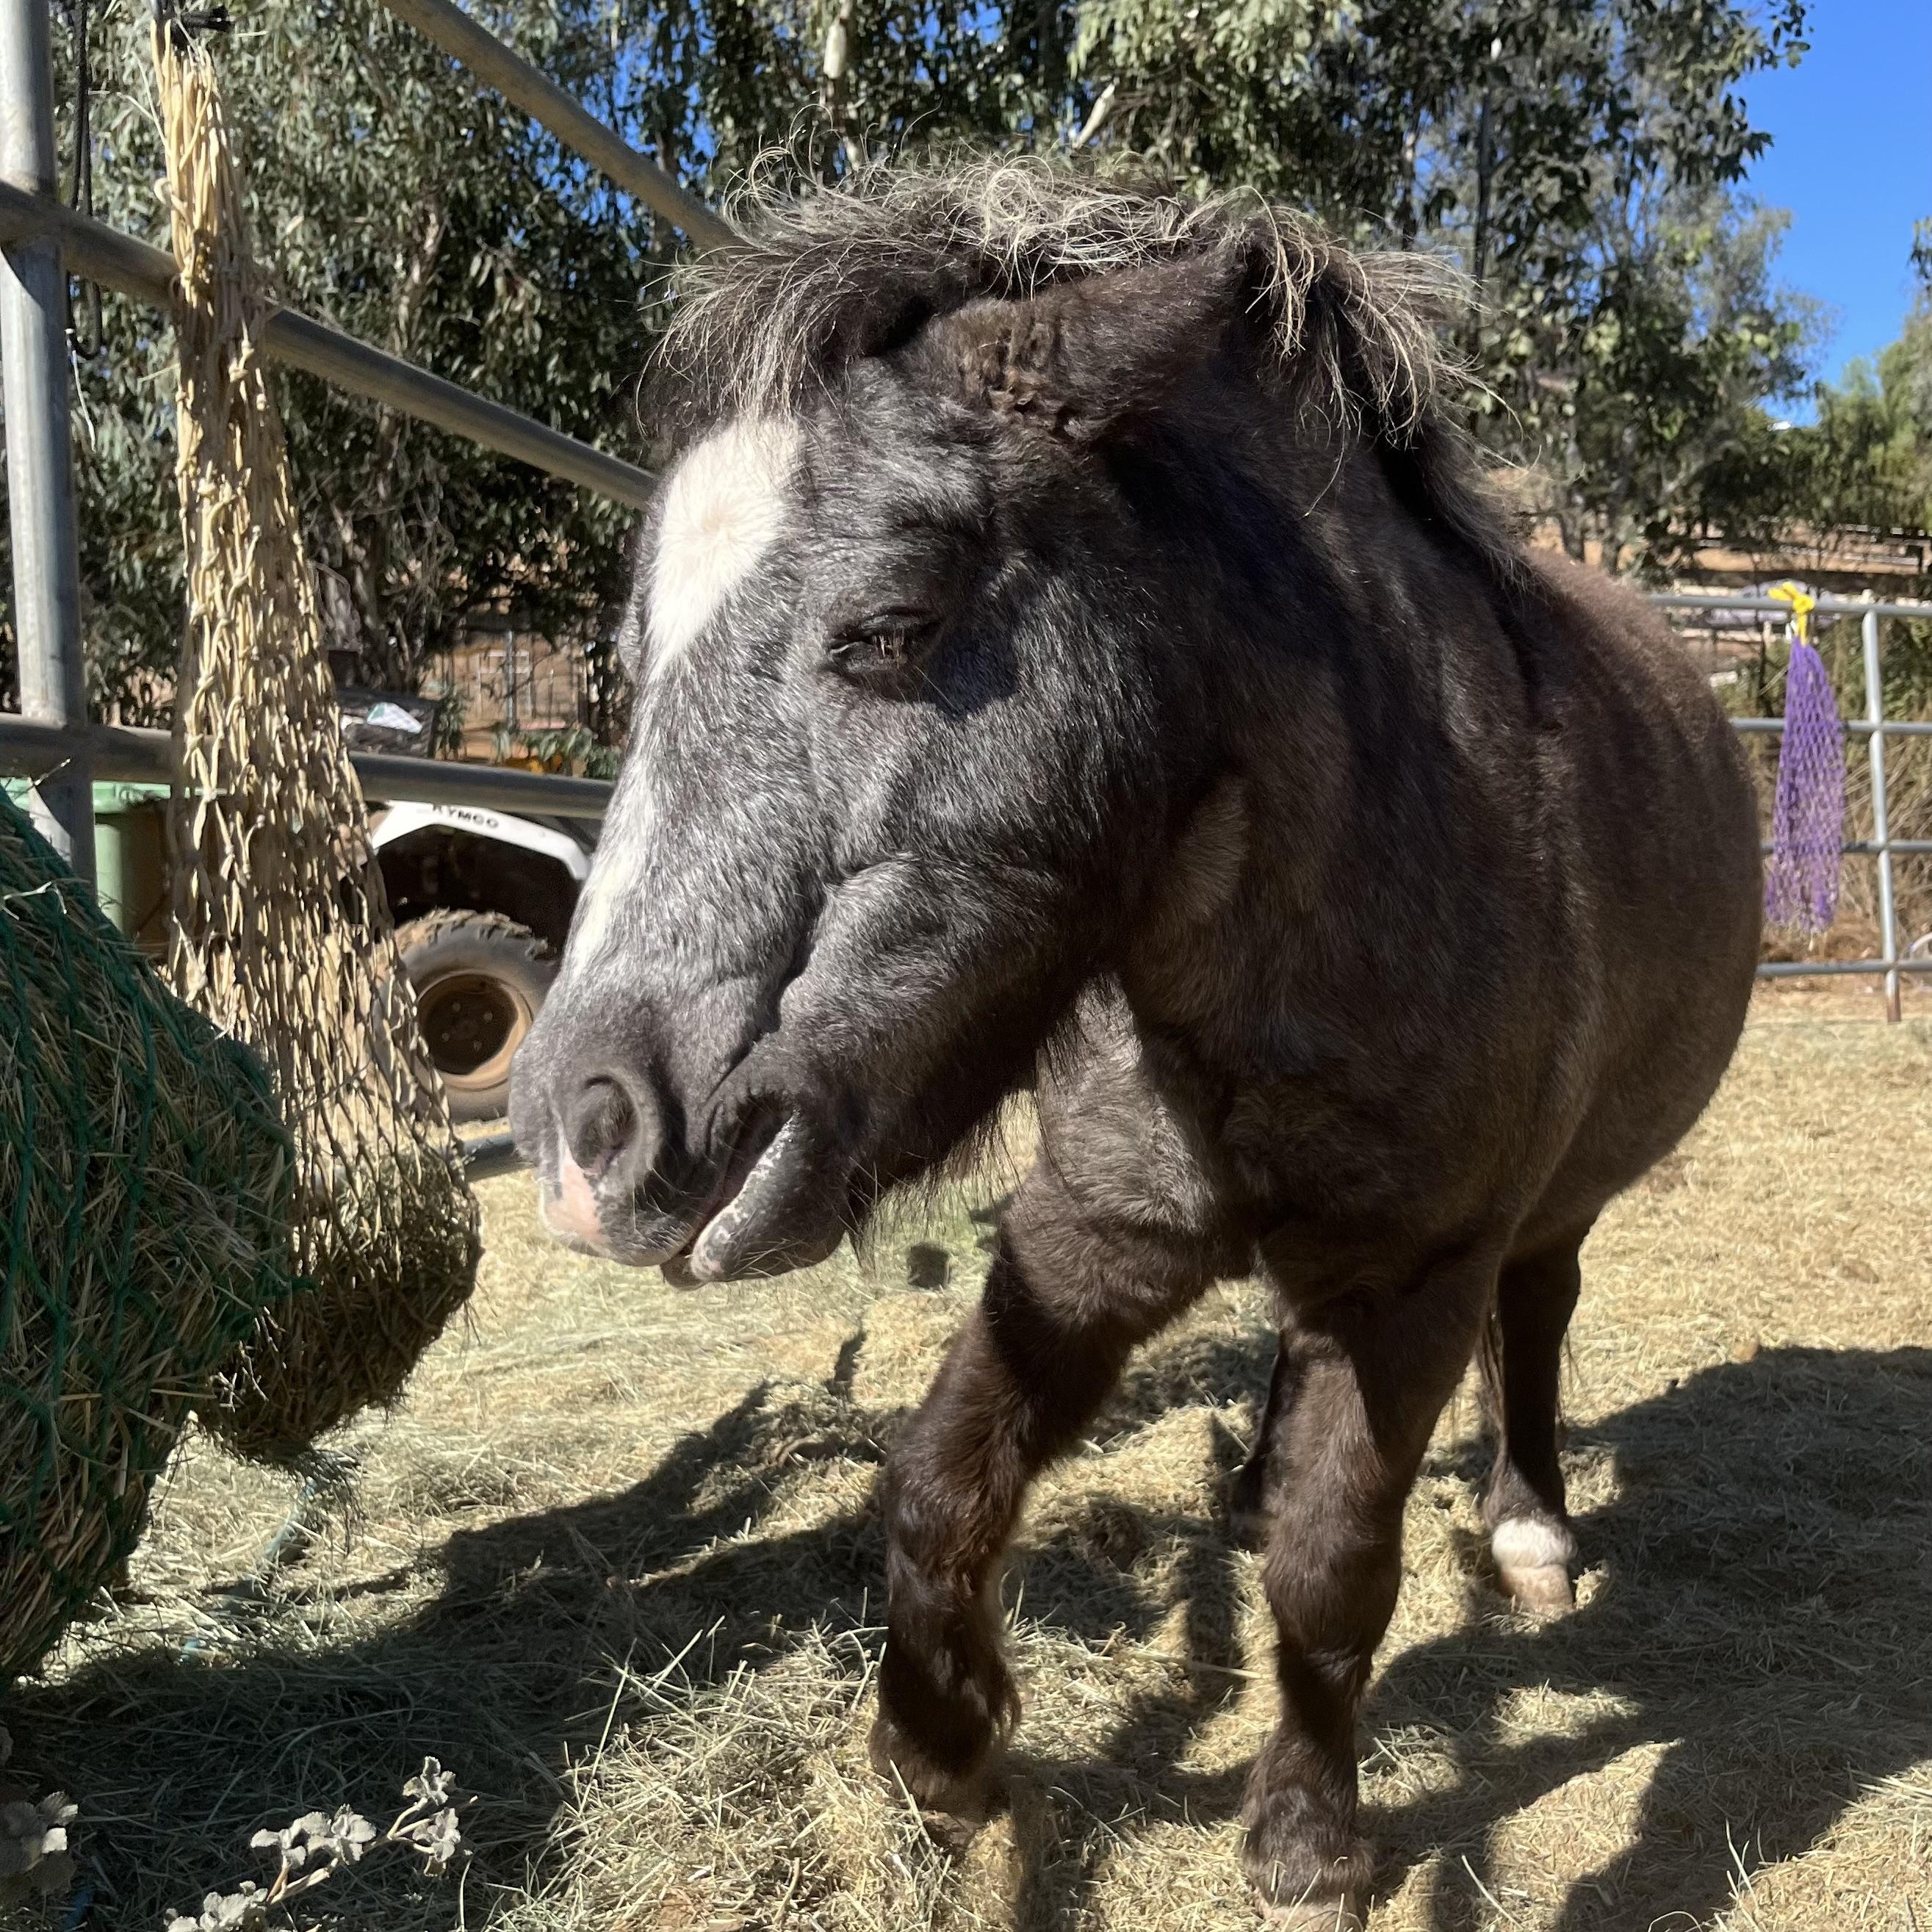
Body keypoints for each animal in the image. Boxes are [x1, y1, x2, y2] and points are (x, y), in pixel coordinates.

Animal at [508, 161, 1762, 1926]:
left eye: (888, 626)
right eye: (629, 659)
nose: (585, 1134)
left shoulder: (1411, 1276)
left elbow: (1336, 1563)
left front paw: (1306, 1838)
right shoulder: (1086, 1239)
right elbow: (940, 1475)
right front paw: (940, 1747)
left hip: (1542, 1216)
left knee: (1535, 1319)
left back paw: (1527, 1529)